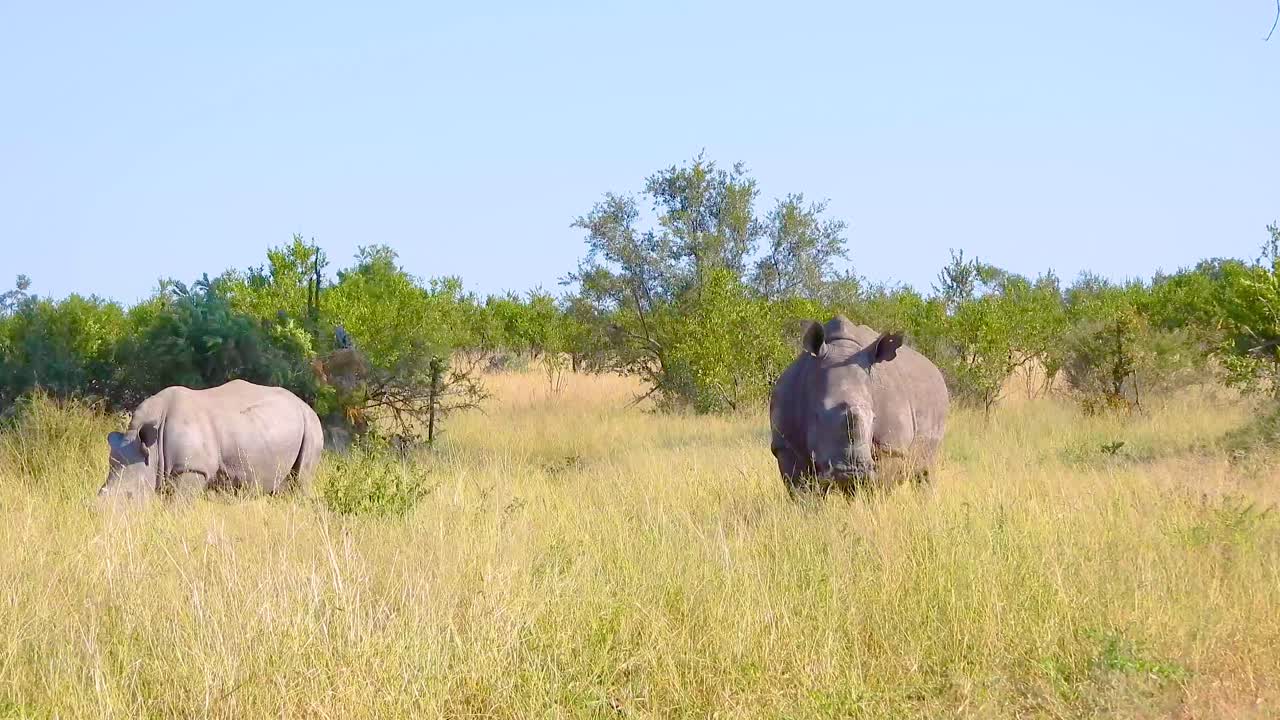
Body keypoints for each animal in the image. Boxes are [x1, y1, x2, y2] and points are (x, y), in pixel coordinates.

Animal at [100, 380, 324, 500]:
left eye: (129, 495)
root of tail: (306, 406)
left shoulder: (191, 469)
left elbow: (177, 506)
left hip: (312, 427)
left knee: (302, 480)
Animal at [769, 316, 949, 495]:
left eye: (874, 418)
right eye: (817, 415)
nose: (852, 473)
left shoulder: (891, 448)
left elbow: (880, 487)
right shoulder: (786, 446)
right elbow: (802, 491)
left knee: (926, 470)